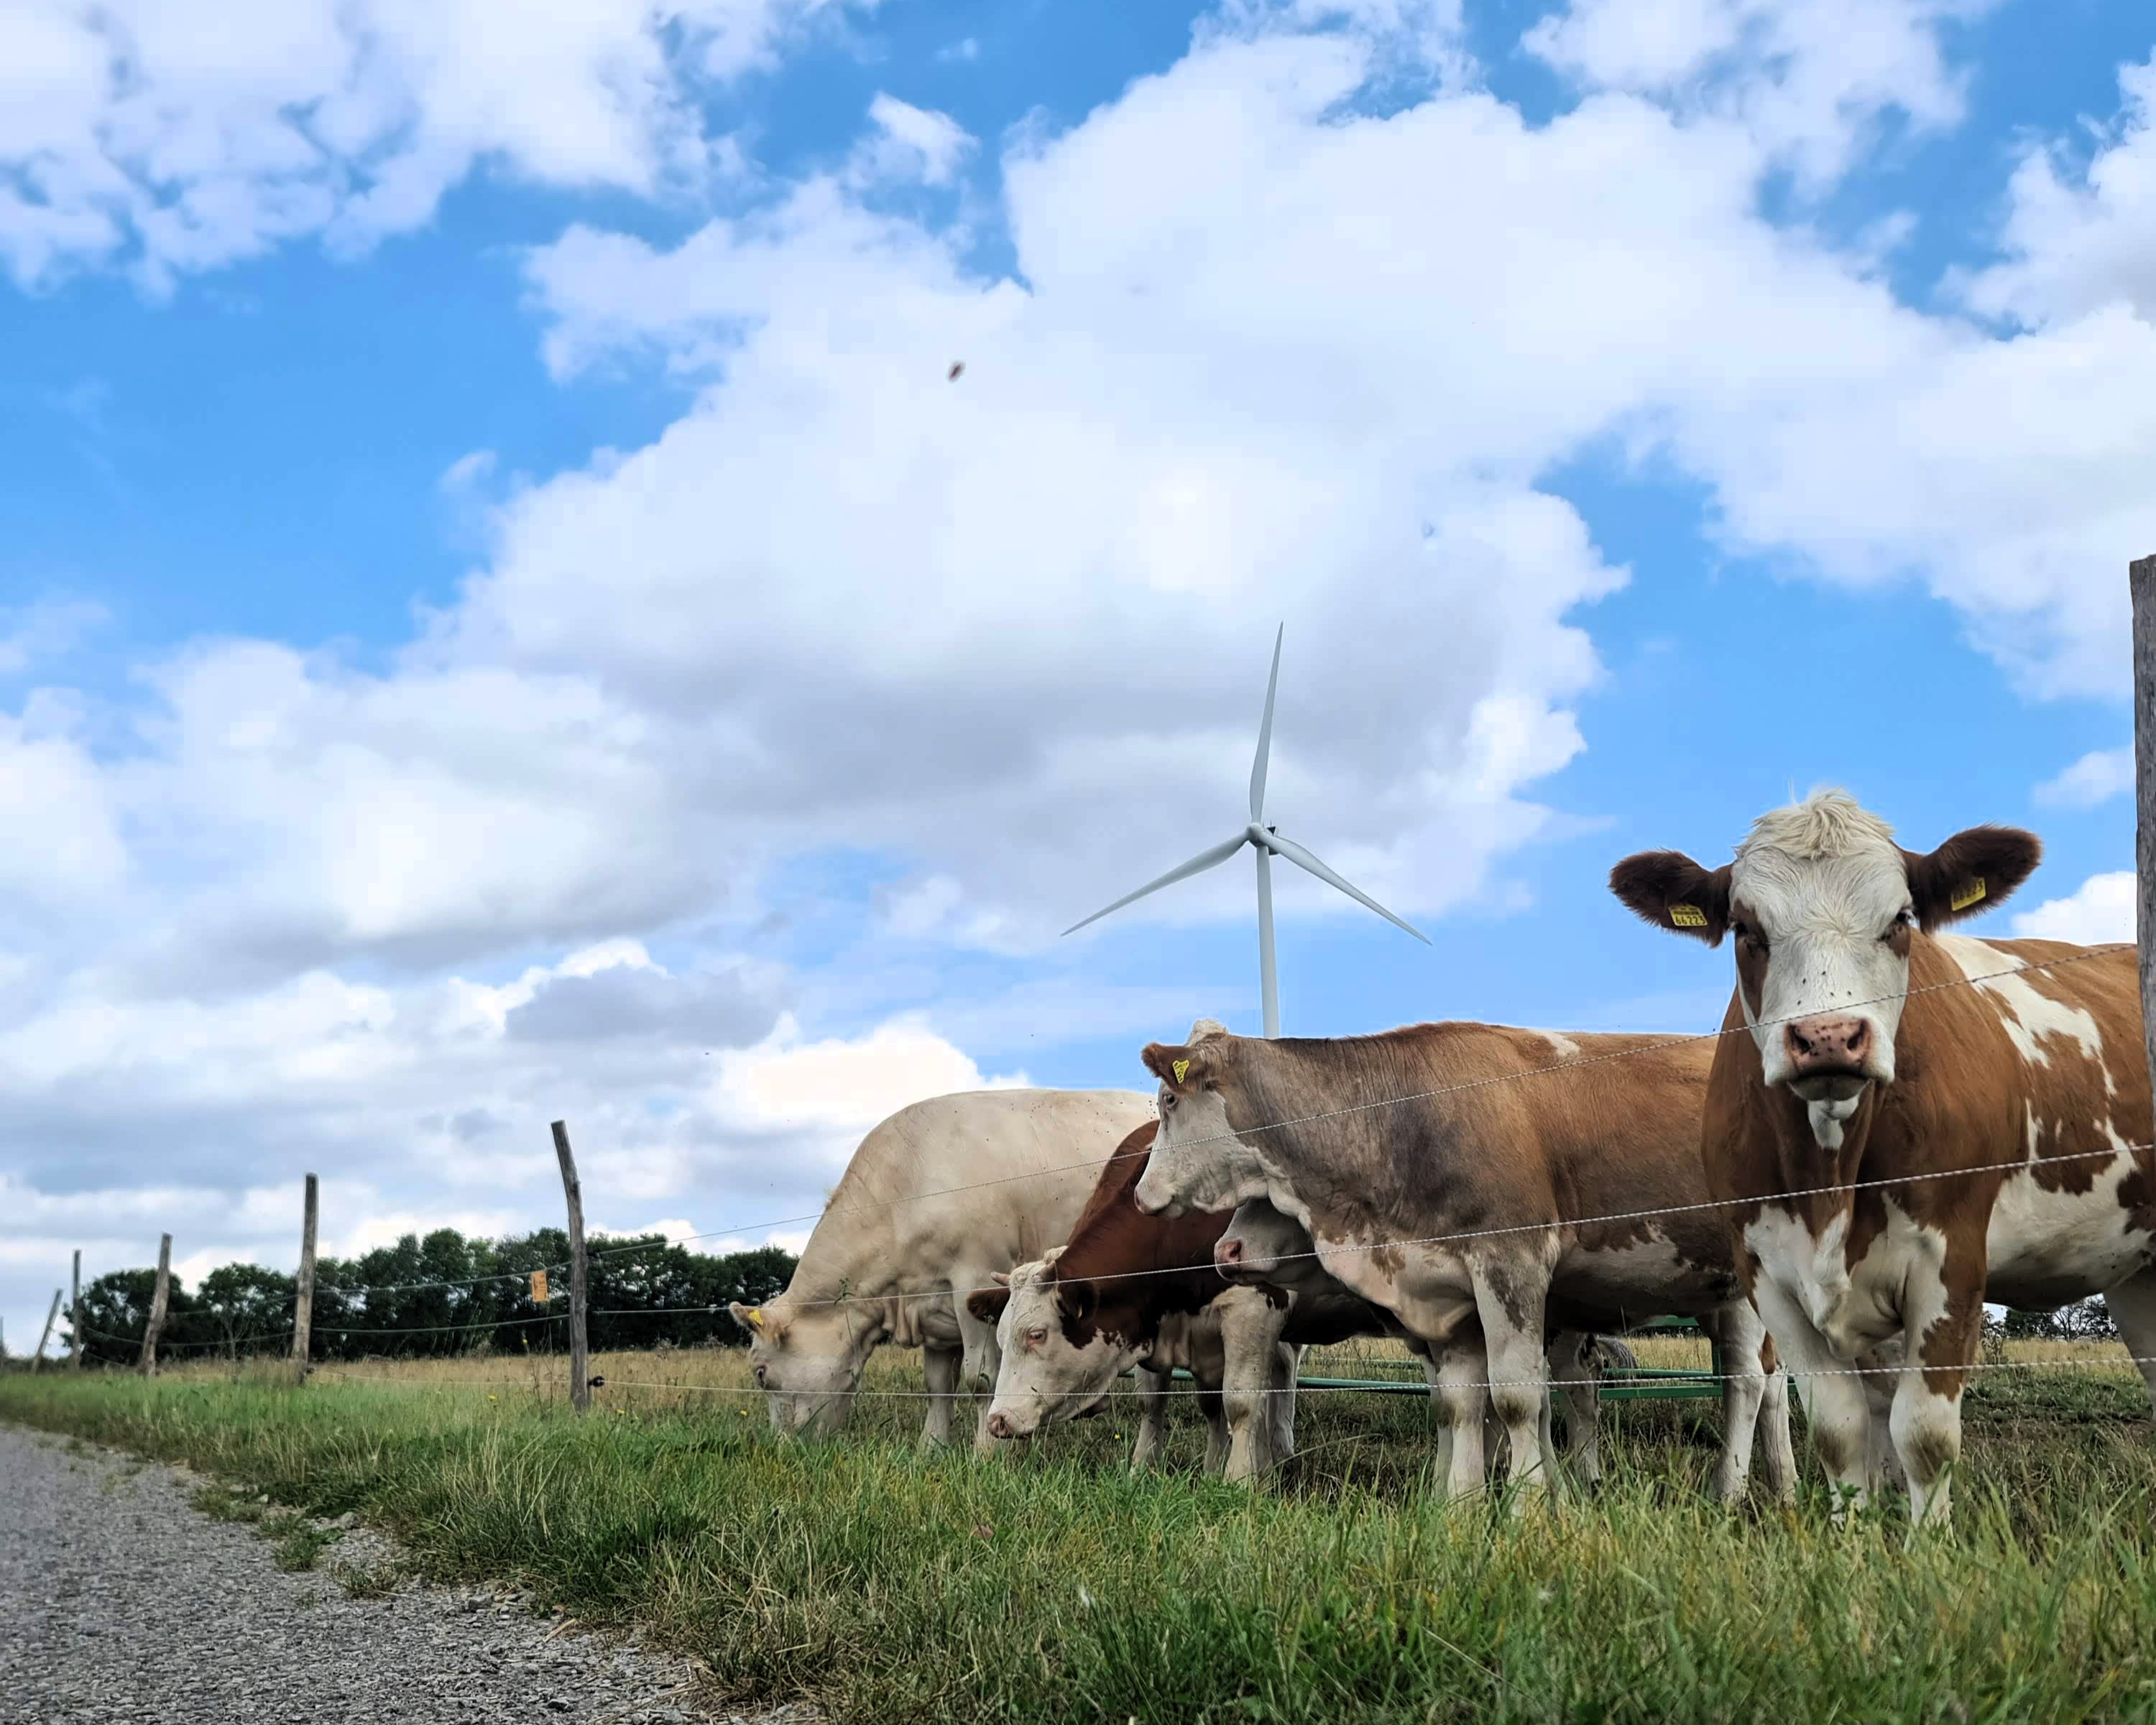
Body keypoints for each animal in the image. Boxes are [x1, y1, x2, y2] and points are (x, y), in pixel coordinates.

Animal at [727, 1087, 1156, 1449]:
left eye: (761, 1374)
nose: (780, 1449)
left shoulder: (974, 1280)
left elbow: (981, 1380)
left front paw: (986, 1453)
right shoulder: (931, 1306)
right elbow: (936, 1385)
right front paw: (931, 1449)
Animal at [1130, 1017, 1796, 1507]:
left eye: (1168, 1100)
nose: (1140, 1195)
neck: (1409, 1117)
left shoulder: (1512, 1264)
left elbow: (1518, 1399)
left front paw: (1530, 1508)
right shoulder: (1448, 1294)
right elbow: (1459, 1404)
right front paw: (1458, 1508)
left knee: (1747, 1382)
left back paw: (1730, 1492)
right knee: (1767, 1383)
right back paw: (1780, 1487)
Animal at [1610, 786, 2155, 1525]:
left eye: (1900, 921)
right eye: (1747, 928)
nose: (1829, 1036)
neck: (1828, 1184)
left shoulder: (1951, 1263)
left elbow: (1922, 1436)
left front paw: (1928, 1544)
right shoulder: (1769, 1276)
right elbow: (1841, 1434)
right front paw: (1853, 1537)